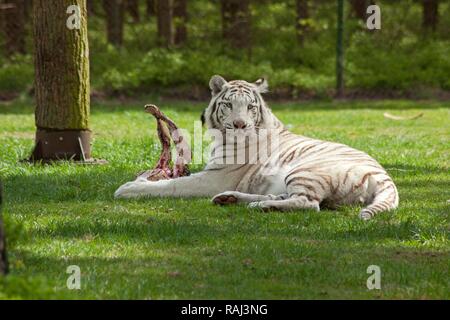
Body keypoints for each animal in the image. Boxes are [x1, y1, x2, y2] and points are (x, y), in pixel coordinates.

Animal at [115, 75, 398, 220]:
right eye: (229, 104)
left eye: (250, 106)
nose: (240, 124)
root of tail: (385, 177)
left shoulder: (215, 177)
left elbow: (172, 185)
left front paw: (129, 188)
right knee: (290, 198)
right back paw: (231, 199)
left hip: (305, 171)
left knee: (309, 204)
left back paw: (259, 207)